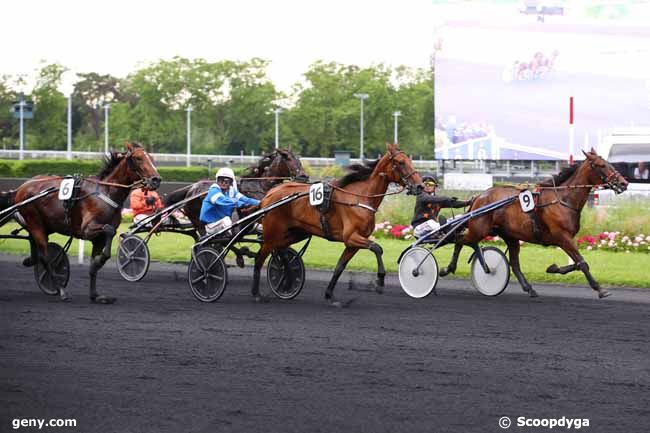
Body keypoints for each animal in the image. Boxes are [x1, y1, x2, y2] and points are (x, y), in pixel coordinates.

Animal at [7, 142, 161, 304]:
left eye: (151, 158)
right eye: (138, 158)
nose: (156, 179)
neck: (106, 193)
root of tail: (22, 187)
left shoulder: (98, 239)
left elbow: (97, 263)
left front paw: (96, 295)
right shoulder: (87, 230)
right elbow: (109, 230)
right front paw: (100, 260)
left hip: (46, 225)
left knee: (35, 247)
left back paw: (31, 261)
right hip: (35, 223)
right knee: (46, 258)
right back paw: (61, 290)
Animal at [161, 147, 306, 235]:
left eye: (298, 158)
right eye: (287, 157)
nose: (304, 176)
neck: (260, 185)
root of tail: (191, 188)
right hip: (199, 221)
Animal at [251, 143, 422, 306]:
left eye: (410, 161)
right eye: (400, 162)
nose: (420, 185)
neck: (360, 197)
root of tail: (269, 194)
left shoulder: (352, 244)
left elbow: (340, 266)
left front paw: (330, 295)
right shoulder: (351, 237)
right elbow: (377, 248)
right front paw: (379, 281)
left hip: (296, 233)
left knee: (279, 249)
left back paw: (287, 280)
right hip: (273, 233)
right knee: (260, 257)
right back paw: (257, 293)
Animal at [438, 148, 624, 296]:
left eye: (608, 163)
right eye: (601, 165)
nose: (623, 182)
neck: (562, 199)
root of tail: (478, 197)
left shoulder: (566, 239)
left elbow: (577, 264)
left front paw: (553, 268)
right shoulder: (562, 237)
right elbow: (582, 263)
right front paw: (600, 289)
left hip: (510, 237)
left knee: (512, 263)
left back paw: (528, 288)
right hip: (479, 230)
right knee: (459, 239)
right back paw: (447, 269)